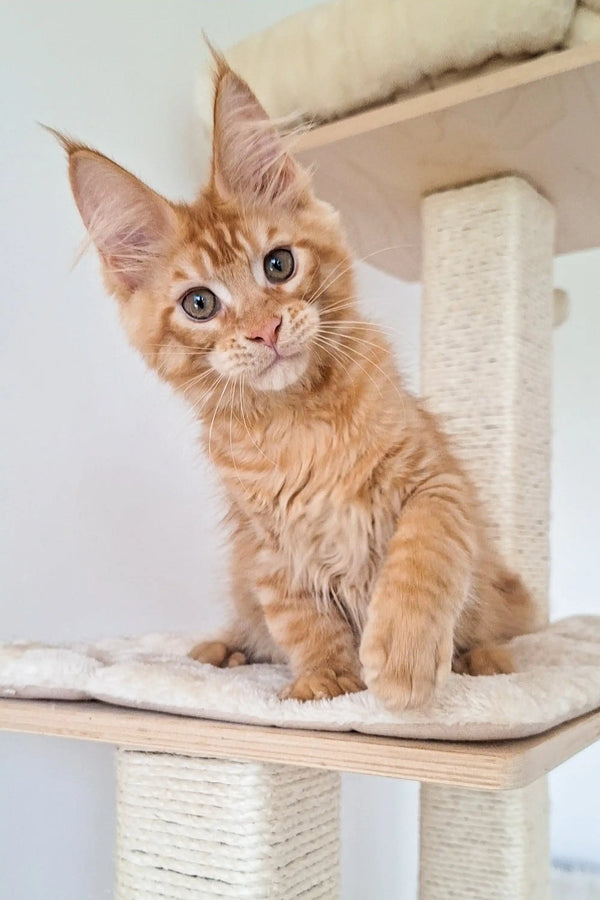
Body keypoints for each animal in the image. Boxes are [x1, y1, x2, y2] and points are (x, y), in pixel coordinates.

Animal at [58, 61, 532, 712]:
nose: (266, 329)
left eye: (278, 265)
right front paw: (325, 684)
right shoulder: (266, 548)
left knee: (494, 624)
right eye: (199, 303)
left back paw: (484, 661)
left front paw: (402, 659)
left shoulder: (438, 483)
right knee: (251, 628)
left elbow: (422, 556)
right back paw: (220, 652)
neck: (299, 421)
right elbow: (302, 618)